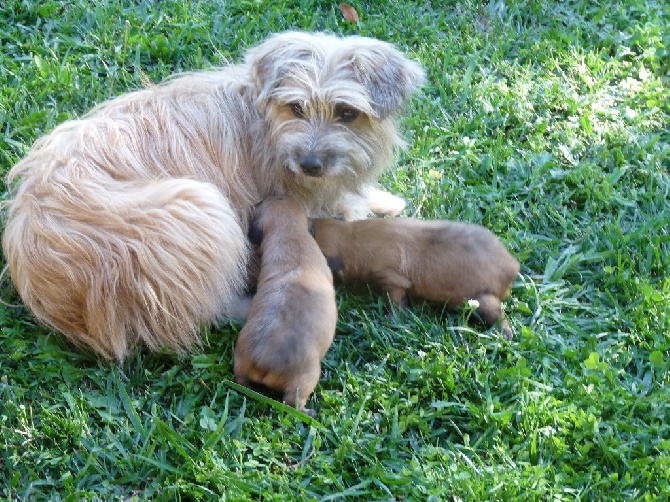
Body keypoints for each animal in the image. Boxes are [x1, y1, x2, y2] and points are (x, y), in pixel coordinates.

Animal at [1, 32, 426, 360]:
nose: (309, 164)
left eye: (346, 113)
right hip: (199, 208)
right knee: (208, 307)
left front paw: (379, 199)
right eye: (296, 107)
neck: (264, 123)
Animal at [312, 218, 524, 340]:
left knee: (499, 315)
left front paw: (391, 320)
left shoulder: (393, 280)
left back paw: (503, 334)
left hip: (480, 299)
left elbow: (395, 303)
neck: (353, 238)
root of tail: (513, 266)